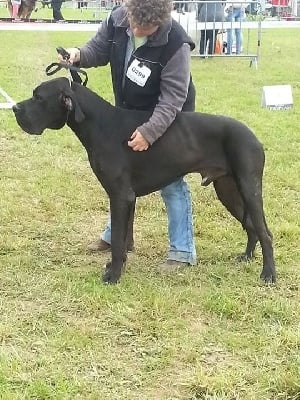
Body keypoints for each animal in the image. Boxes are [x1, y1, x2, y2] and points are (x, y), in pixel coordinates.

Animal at [12, 77, 276, 284]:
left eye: (38, 97)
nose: (14, 108)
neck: (99, 124)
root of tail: (254, 137)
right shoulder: (127, 197)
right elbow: (123, 238)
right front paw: (117, 266)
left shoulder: (120, 195)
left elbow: (118, 240)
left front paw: (113, 276)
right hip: (228, 190)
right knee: (251, 226)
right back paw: (247, 257)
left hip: (249, 187)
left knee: (265, 233)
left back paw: (268, 275)